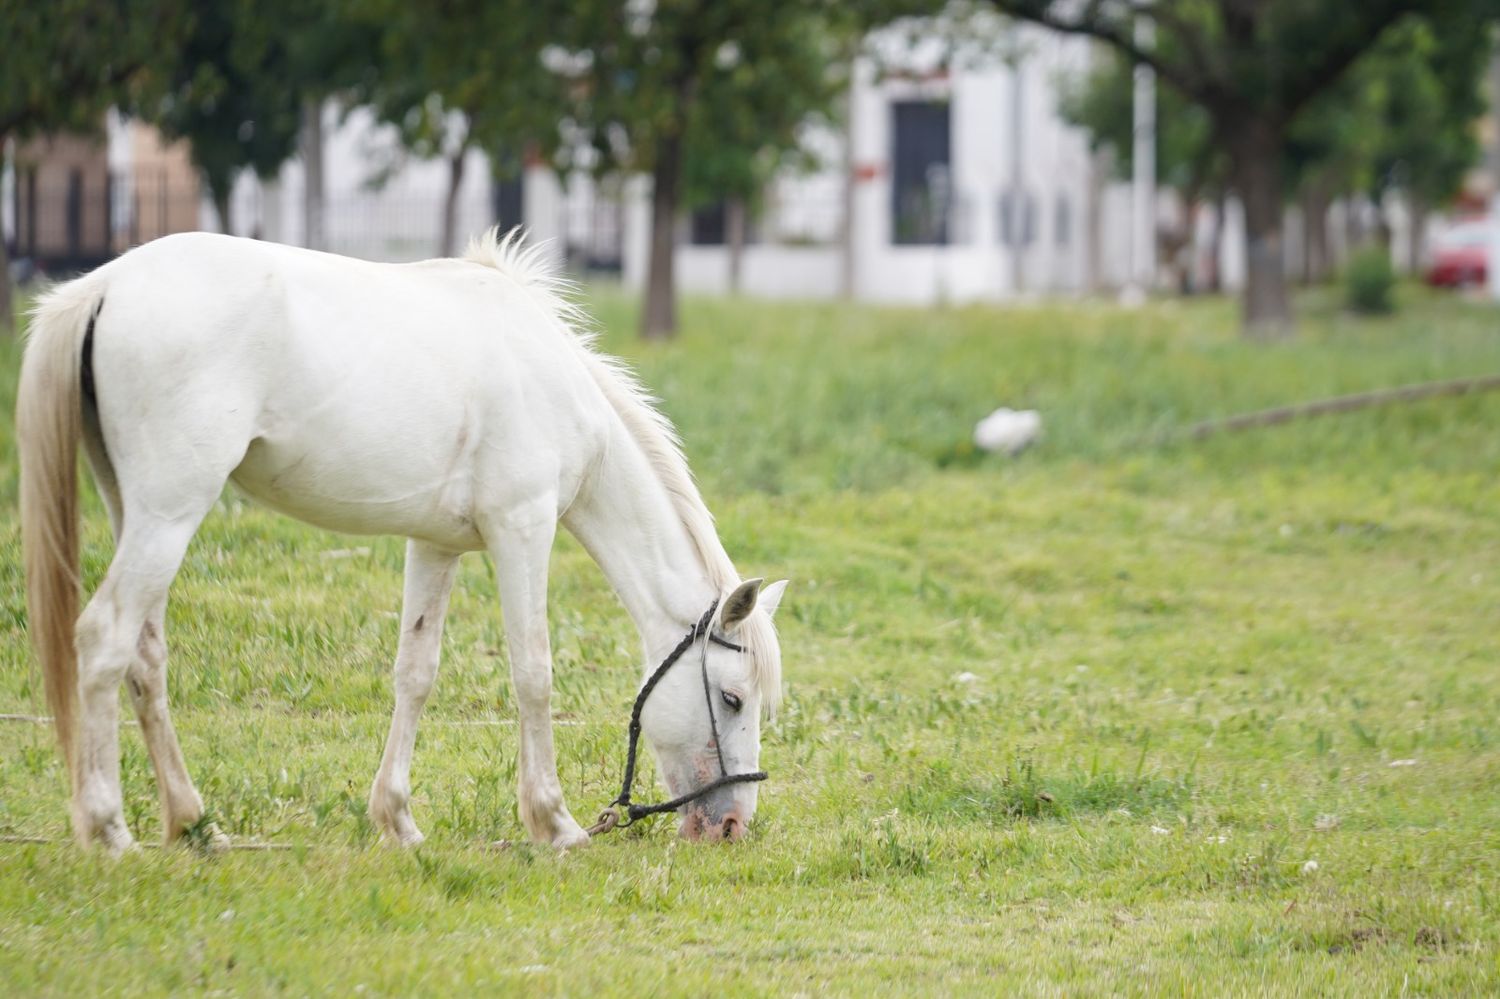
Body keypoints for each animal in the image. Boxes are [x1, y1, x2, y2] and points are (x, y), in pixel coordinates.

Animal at [17, 231, 792, 846]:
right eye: (731, 699)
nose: (731, 824)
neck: (551, 381)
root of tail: (104, 286)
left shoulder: (435, 545)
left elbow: (415, 673)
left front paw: (397, 820)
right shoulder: (523, 529)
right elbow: (533, 673)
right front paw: (555, 823)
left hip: (139, 512)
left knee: (145, 656)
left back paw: (191, 823)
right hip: (170, 512)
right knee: (105, 639)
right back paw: (109, 829)